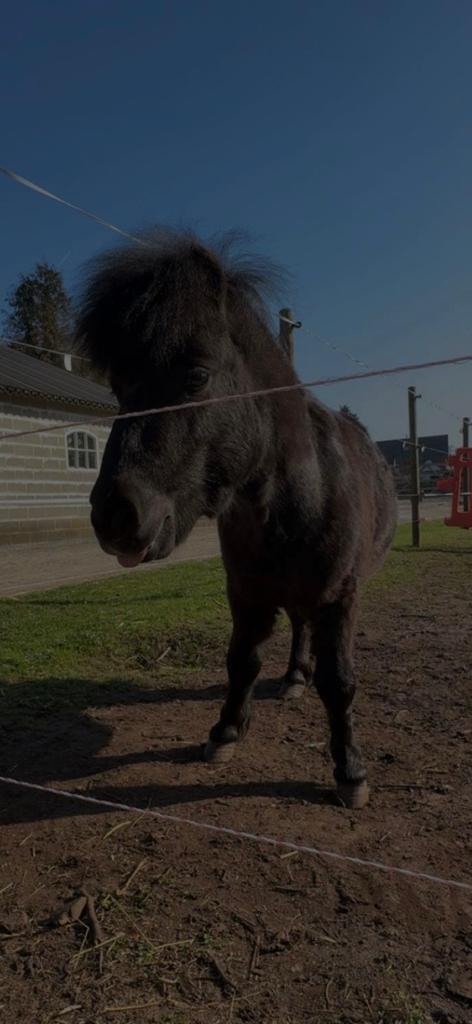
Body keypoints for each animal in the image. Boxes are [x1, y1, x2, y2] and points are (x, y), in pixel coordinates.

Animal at [77, 229, 397, 809]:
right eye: (117, 386)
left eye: (197, 375)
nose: (115, 516)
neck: (295, 499)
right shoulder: (246, 594)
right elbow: (241, 661)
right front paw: (226, 731)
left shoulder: (339, 598)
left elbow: (340, 683)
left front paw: (350, 770)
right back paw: (293, 677)